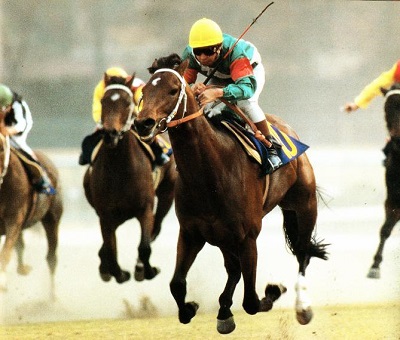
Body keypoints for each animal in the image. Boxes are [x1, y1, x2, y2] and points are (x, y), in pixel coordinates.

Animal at [0, 111, 62, 298]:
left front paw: (2, 281)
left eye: (1, 147)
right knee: (20, 246)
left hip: (52, 217)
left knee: (51, 257)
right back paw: (23, 269)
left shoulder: (14, 217)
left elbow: (6, 251)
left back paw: (51, 297)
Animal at [83, 73, 177, 282]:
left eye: (127, 102)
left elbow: (144, 246)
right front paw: (117, 273)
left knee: (156, 227)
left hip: (167, 193)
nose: (110, 133)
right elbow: (110, 250)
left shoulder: (145, 208)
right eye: (103, 101)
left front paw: (146, 270)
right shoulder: (106, 214)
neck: (120, 170)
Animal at [134, 61, 328, 334]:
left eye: (173, 90)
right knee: (233, 268)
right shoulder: (192, 233)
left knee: (302, 253)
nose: (144, 123)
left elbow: (251, 301)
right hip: (223, 235)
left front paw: (273, 291)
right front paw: (192, 308)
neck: (210, 173)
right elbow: (177, 284)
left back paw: (302, 308)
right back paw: (224, 310)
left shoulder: (248, 237)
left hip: (303, 204)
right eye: (144, 92)